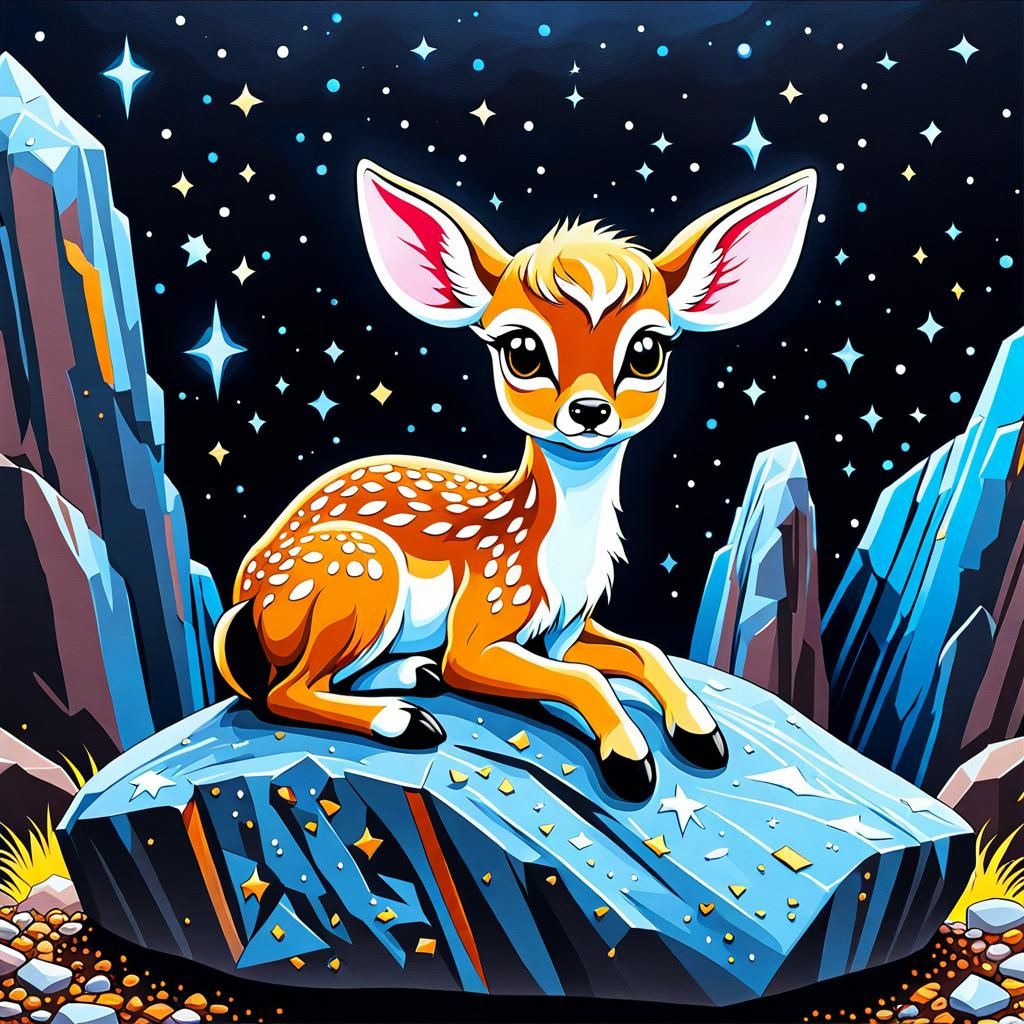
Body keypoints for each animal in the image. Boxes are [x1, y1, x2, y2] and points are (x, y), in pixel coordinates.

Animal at [214, 159, 816, 802]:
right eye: (522, 350)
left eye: (647, 350)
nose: (589, 410)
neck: (554, 550)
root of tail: (247, 594)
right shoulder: (481, 627)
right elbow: (581, 676)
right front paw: (630, 760)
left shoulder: (567, 627)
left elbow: (645, 649)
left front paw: (701, 732)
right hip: (357, 572)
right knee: (283, 691)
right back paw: (404, 719)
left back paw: (414, 675)